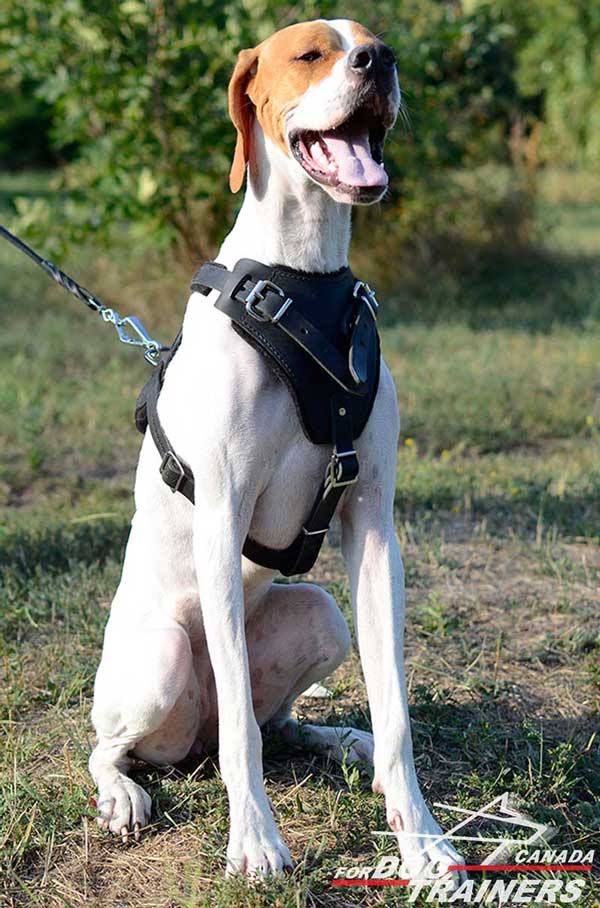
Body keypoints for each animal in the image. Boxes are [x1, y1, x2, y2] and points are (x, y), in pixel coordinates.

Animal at [88, 17, 464, 884]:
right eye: (311, 53)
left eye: (374, 41)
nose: (379, 62)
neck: (306, 277)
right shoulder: (222, 520)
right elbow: (240, 737)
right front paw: (255, 840)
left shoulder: (373, 528)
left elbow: (397, 712)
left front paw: (421, 837)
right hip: (161, 660)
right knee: (125, 744)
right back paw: (123, 793)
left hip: (321, 615)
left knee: (272, 722)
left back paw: (340, 739)